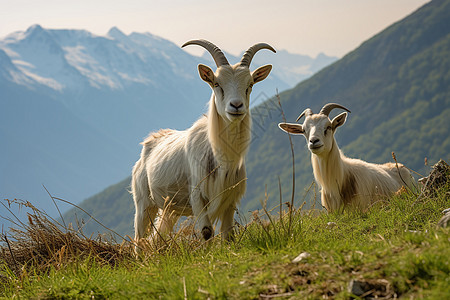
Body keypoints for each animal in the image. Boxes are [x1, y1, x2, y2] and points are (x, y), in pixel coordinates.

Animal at [131, 39, 274, 248]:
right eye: (217, 83)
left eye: (250, 84)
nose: (236, 106)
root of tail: (148, 145)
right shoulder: (197, 196)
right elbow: (206, 232)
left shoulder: (230, 198)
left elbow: (228, 233)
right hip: (143, 201)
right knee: (139, 238)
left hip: (169, 208)